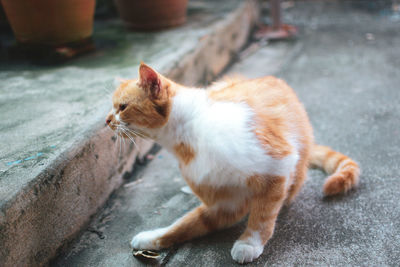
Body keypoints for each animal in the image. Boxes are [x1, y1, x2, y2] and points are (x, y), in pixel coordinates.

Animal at [105, 62, 360, 264]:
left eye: (122, 107)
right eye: (114, 107)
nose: (107, 121)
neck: (188, 134)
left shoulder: (278, 164)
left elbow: (263, 215)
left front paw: (250, 243)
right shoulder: (224, 202)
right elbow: (185, 224)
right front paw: (151, 238)